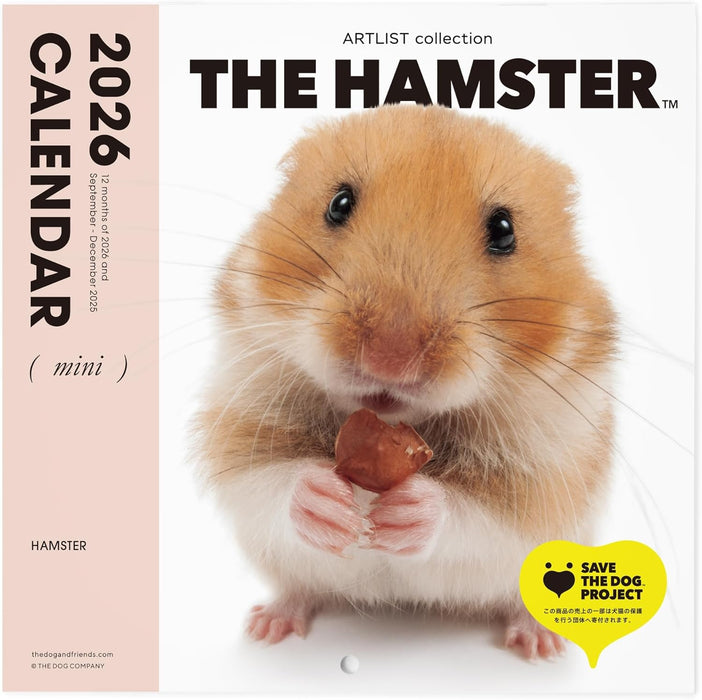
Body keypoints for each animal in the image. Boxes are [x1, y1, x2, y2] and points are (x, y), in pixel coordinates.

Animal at [194, 104, 617, 660]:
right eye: (338, 203)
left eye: (504, 230)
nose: (389, 358)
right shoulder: (240, 419)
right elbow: (270, 480)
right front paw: (333, 505)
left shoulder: (546, 477)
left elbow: (476, 514)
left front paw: (399, 514)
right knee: (299, 587)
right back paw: (267, 626)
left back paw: (539, 645)